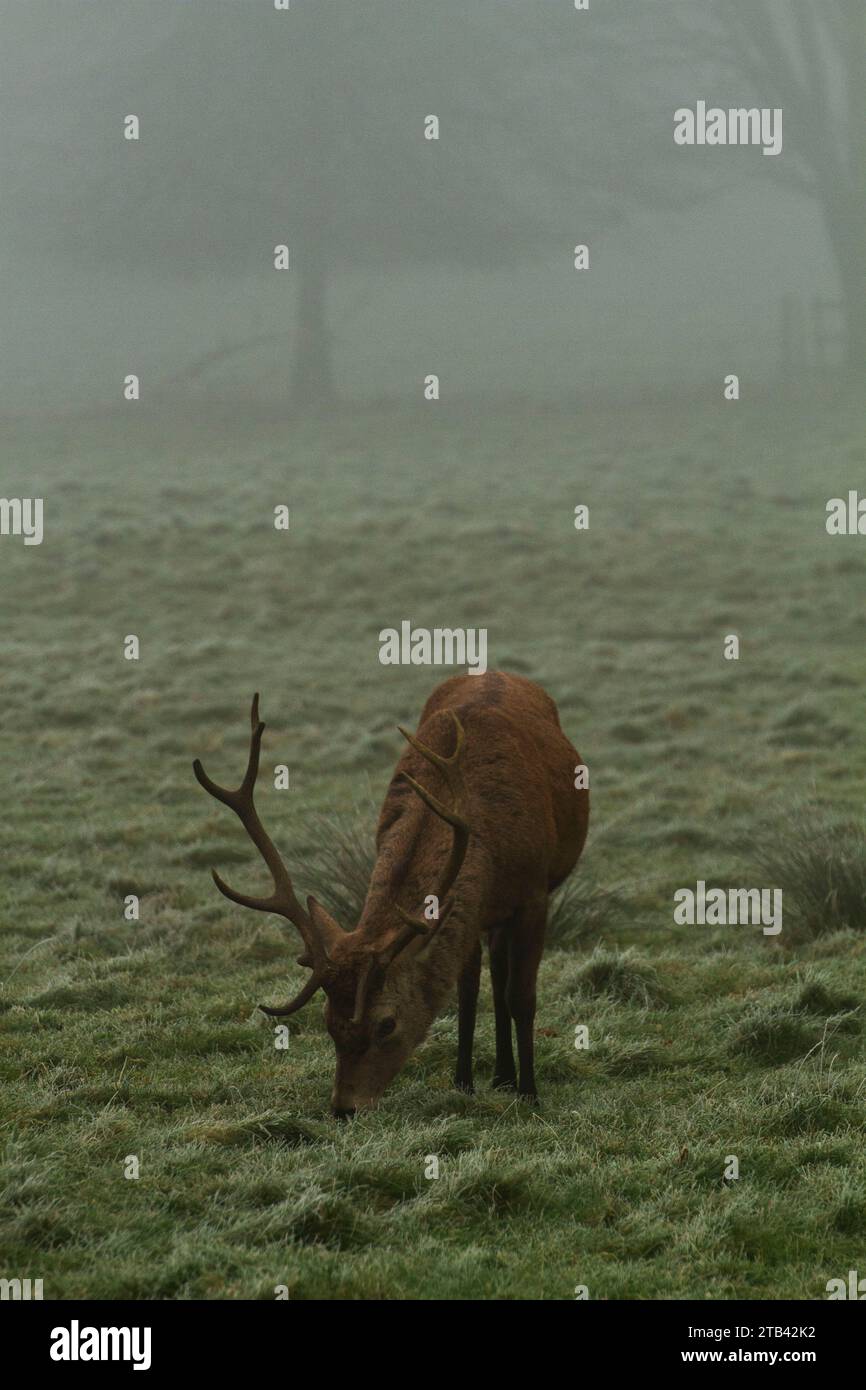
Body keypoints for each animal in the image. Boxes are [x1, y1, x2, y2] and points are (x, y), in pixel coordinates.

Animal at [193, 667, 589, 1112]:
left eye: (387, 1023)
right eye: (328, 1021)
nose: (343, 1107)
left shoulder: (535, 894)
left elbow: (521, 996)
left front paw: (530, 1094)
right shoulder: (469, 908)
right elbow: (466, 991)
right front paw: (464, 1083)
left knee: (504, 982)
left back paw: (510, 1079)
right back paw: (499, 1076)